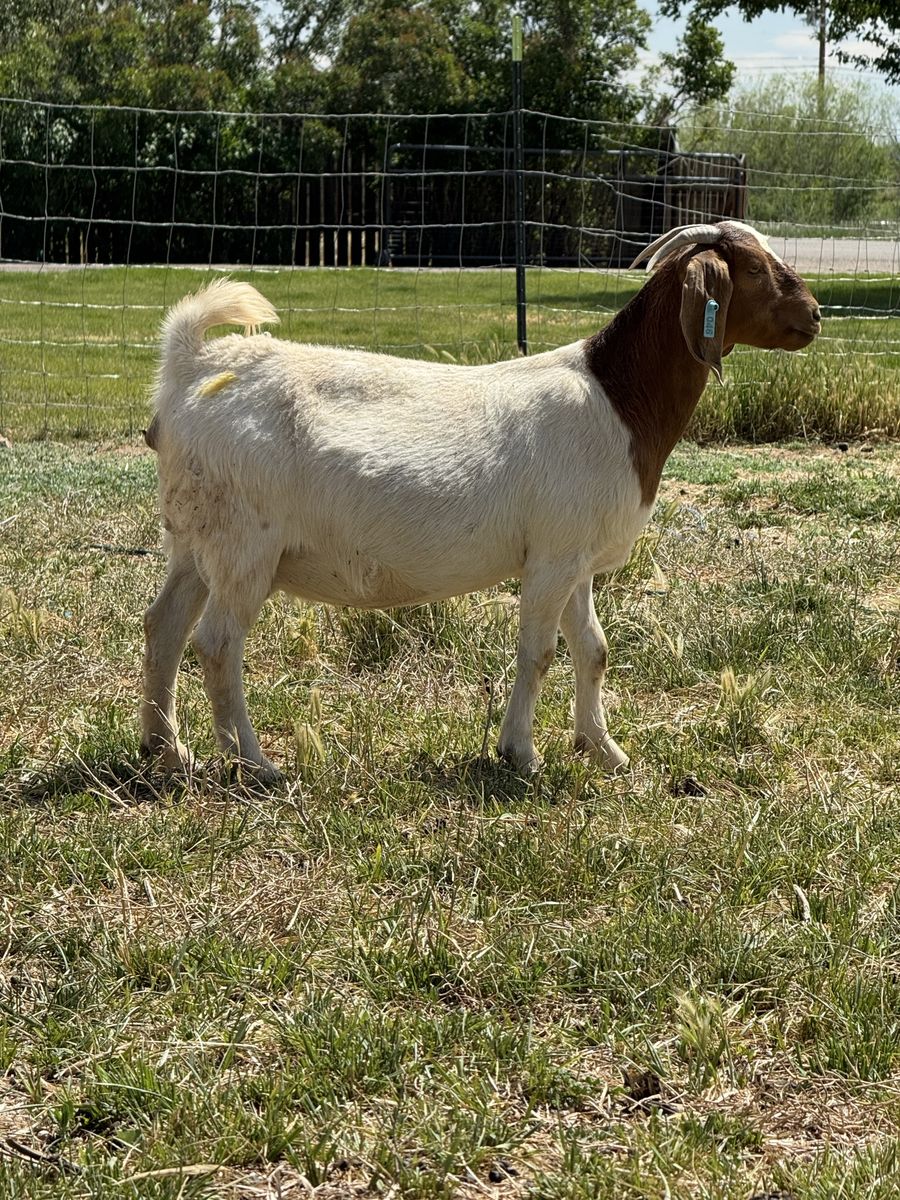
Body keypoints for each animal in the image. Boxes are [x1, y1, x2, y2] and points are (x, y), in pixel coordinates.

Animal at [141, 220, 821, 782]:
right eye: (753, 269)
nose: (814, 315)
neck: (619, 399)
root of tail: (192, 365)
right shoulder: (551, 560)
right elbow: (539, 652)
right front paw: (521, 754)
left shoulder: (575, 558)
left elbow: (593, 650)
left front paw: (604, 749)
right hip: (243, 546)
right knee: (217, 644)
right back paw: (255, 764)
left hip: (193, 539)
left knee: (163, 624)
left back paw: (166, 749)